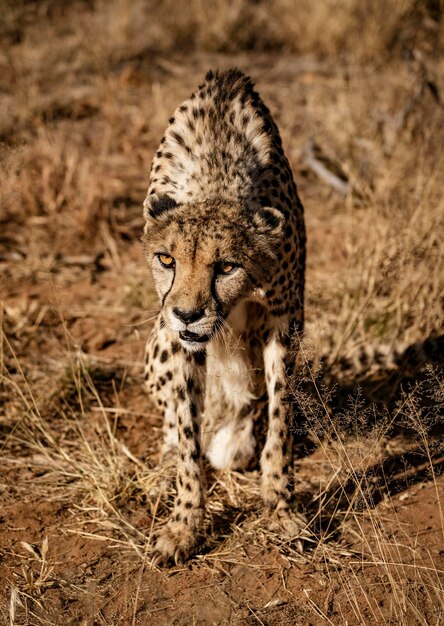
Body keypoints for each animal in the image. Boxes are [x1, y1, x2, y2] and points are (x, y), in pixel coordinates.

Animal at [141, 69, 306, 560]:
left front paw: (280, 505)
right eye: (167, 260)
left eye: (227, 266)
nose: (187, 314)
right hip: (156, 342)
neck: (216, 174)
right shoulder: (176, 342)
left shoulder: (284, 318)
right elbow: (186, 439)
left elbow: (281, 419)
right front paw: (184, 525)